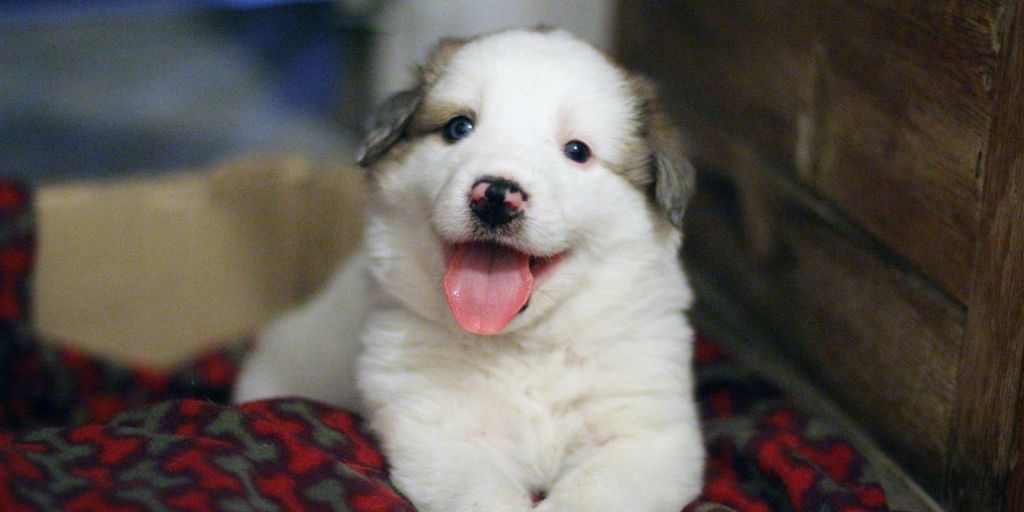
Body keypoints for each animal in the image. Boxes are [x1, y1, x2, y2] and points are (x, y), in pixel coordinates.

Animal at [234, 29, 704, 512]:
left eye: (577, 151)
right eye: (459, 127)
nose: (496, 196)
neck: (522, 347)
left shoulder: (646, 436)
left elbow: (595, 492)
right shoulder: (442, 433)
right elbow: (483, 493)